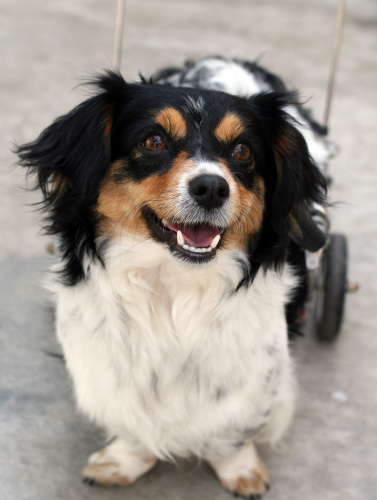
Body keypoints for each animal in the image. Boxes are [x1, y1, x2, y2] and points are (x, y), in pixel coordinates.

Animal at [17, 57, 328, 496]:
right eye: (154, 141)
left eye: (242, 150)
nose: (212, 187)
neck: (174, 284)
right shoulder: (104, 360)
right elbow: (131, 419)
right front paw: (124, 460)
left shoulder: (256, 368)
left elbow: (235, 428)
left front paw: (240, 469)